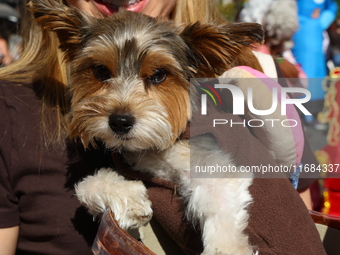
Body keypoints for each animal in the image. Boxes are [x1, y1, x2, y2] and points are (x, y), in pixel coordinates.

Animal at [29, 0, 262, 254]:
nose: (119, 122)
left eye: (159, 75)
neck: (154, 149)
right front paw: (131, 199)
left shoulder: (215, 167)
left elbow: (222, 221)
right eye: (100, 70)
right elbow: (87, 185)